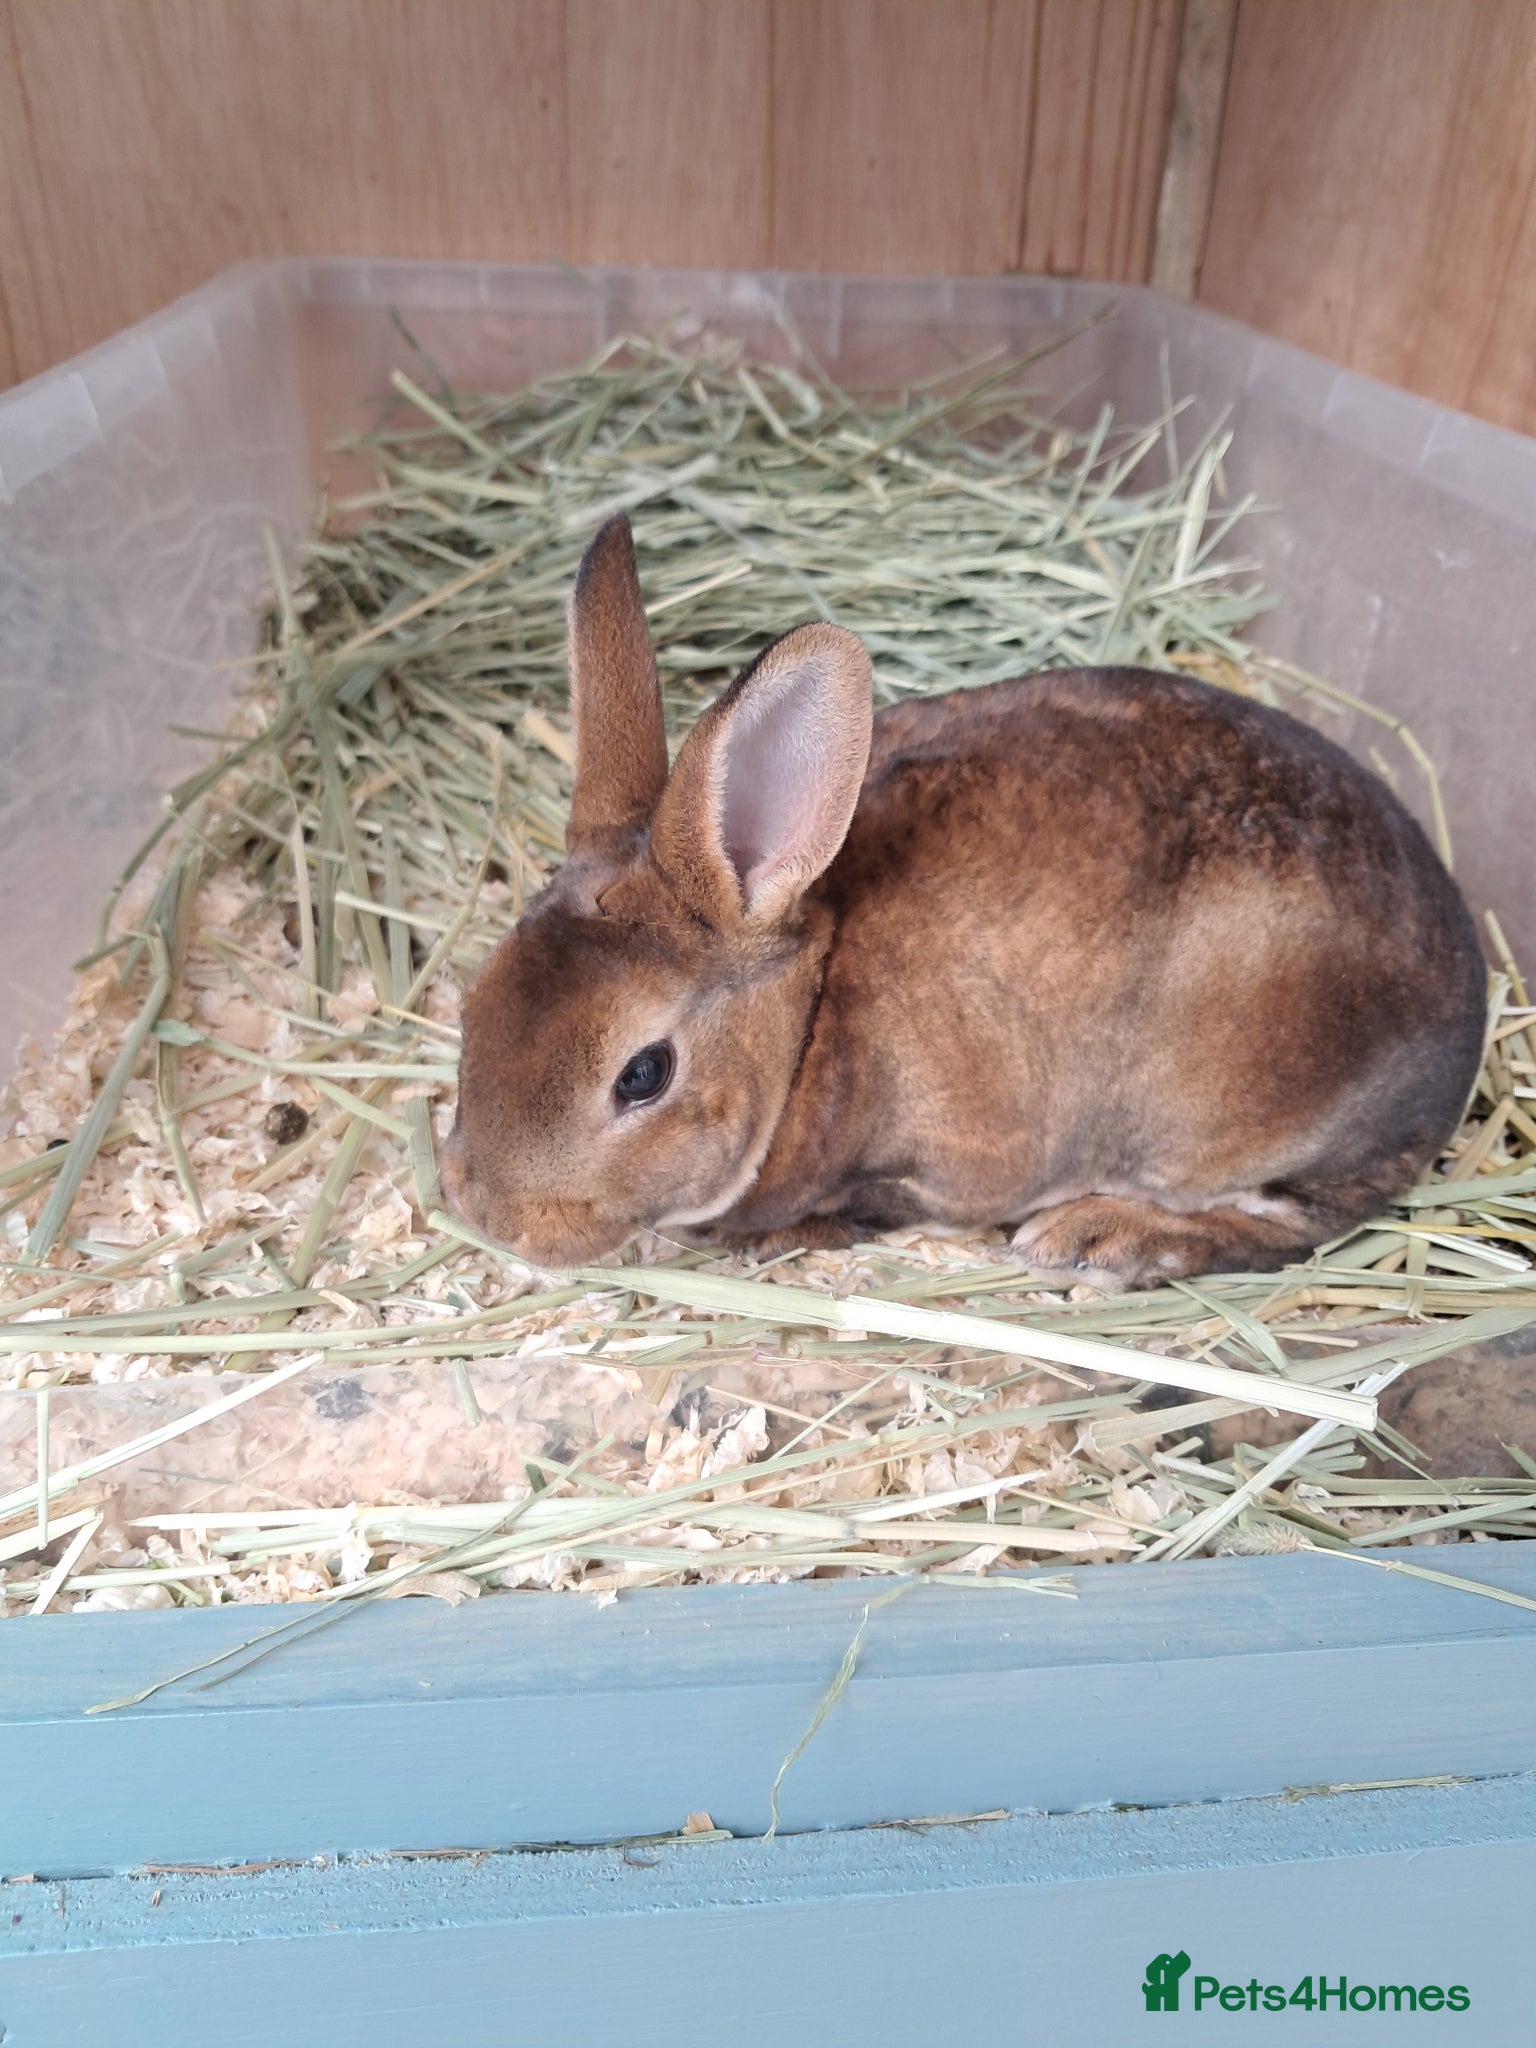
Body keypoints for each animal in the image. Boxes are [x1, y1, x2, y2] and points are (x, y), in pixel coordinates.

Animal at [440, 513, 1486, 1287]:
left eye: (644, 1075)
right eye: (474, 999)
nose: (489, 1214)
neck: (807, 1026)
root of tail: (1468, 1011)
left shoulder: (944, 1167)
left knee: (1300, 1217)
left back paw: (1105, 1238)